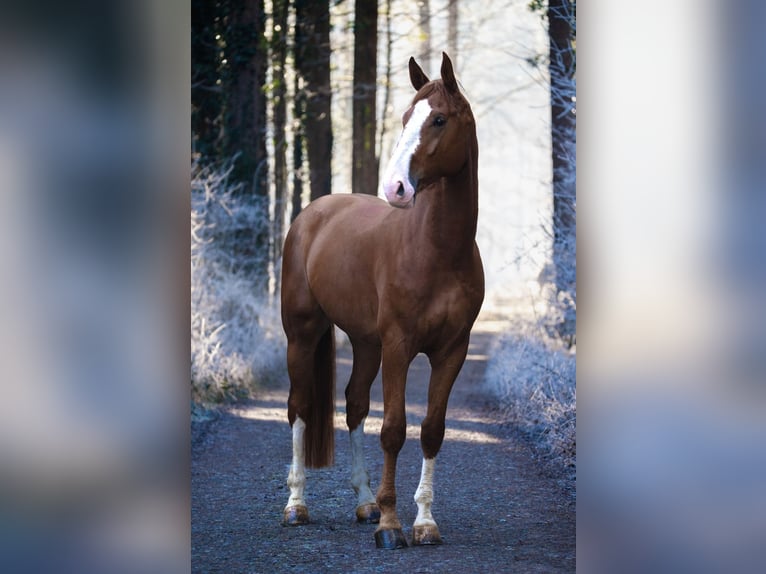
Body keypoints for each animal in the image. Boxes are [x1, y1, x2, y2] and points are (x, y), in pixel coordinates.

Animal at [282, 55, 486, 552]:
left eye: (438, 119)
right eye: (405, 117)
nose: (396, 188)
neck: (437, 251)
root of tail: (313, 213)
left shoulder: (452, 351)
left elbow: (432, 430)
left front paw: (424, 522)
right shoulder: (398, 346)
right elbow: (394, 429)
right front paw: (392, 527)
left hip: (365, 343)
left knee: (355, 405)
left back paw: (363, 502)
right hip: (303, 334)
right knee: (299, 406)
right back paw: (296, 505)